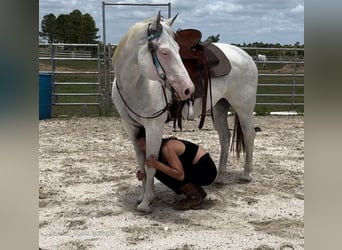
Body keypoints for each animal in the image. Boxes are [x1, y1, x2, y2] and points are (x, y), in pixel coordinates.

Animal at [111, 11, 256, 213]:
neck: (137, 85)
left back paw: (246, 174)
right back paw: (220, 177)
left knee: (249, 136)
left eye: (178, 50)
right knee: (225, 138)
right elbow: (141, 163)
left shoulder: (153, 127)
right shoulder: (131, 127)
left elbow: (150, 164)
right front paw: (141, 197)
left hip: (244, 109)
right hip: (220, 108)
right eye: (164, 52)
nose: (188, 89)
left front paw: (147, 202)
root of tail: (246, 56)